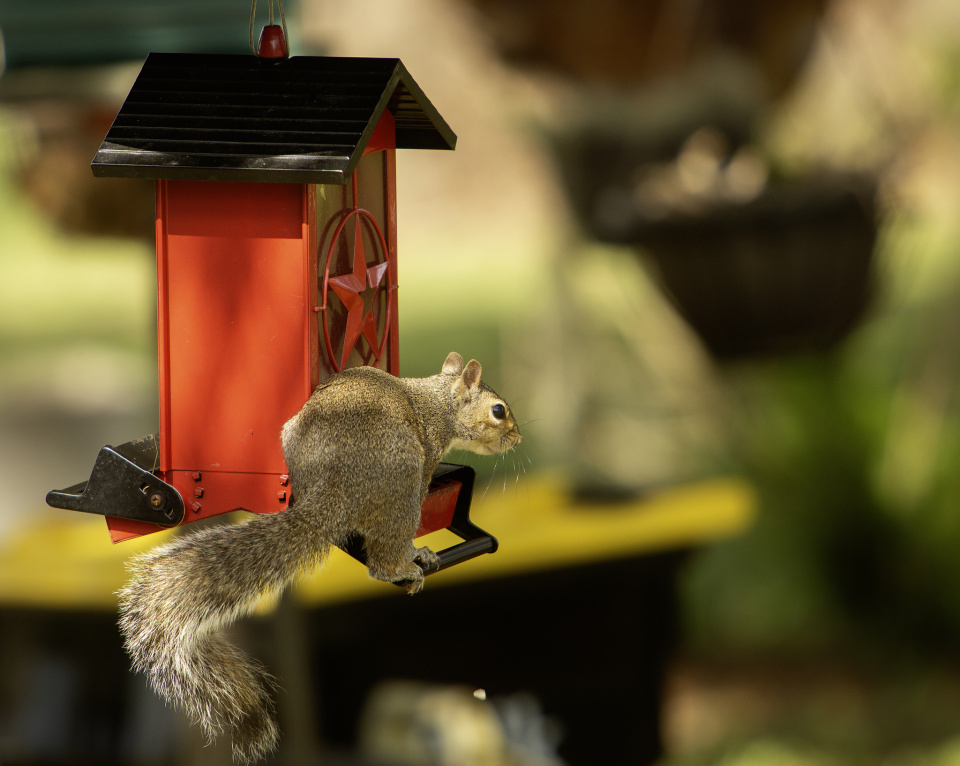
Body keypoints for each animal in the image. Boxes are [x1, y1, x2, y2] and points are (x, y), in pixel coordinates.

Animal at [117, 352, 521, 764]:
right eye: (498, 410)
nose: (518, 438)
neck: (436, 401)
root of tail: (335, 489)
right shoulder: (428, 457)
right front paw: (418, 552)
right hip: (405, 483)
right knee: (383, 556)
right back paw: (404, 566)